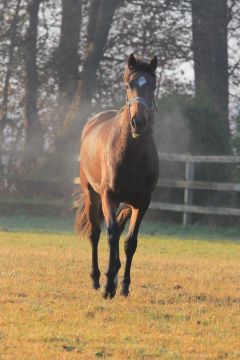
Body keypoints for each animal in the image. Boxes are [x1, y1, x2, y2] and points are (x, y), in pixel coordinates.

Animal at [75, 54, 159, 298]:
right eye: (128, 85)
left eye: (153, 85)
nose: (138, 122)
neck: (133, 155)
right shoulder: (108, 196)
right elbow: (111, 233)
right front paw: (108, 285)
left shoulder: (143, 202)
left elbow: (130, 242)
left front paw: (123, 285)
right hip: (91, 194)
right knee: (95, 233)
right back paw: (96, 278)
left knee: (121, 226)